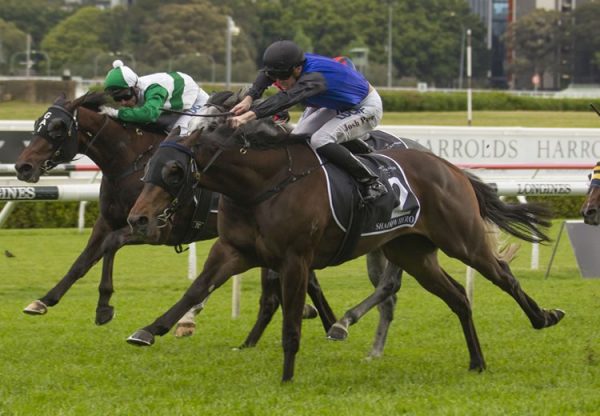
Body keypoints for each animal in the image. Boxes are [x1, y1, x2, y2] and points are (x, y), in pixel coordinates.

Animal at [12, 93, 338, 344]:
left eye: (58, 127)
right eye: (37, 124)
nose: (22, 167)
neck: (129, 161)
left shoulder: (156, 229)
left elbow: (111, 245)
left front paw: (104, 306)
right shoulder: (107, 220)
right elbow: (82, 261)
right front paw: (43, 300)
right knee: (308, 280)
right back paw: (325, 320)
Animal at [127, 120, 568, 380]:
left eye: (174, 171)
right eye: (148, 167)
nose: (138, 219)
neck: (262, 185)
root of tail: (449, 167)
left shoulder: (295, 258)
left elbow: (291, 320)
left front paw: (287, 375)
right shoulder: (234, 250)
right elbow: (194, 291)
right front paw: (149, 330)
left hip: (462, 239)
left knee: (501, 274)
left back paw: (544, 316)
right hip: (412, 252)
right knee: (458, 296)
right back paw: (477, 361)